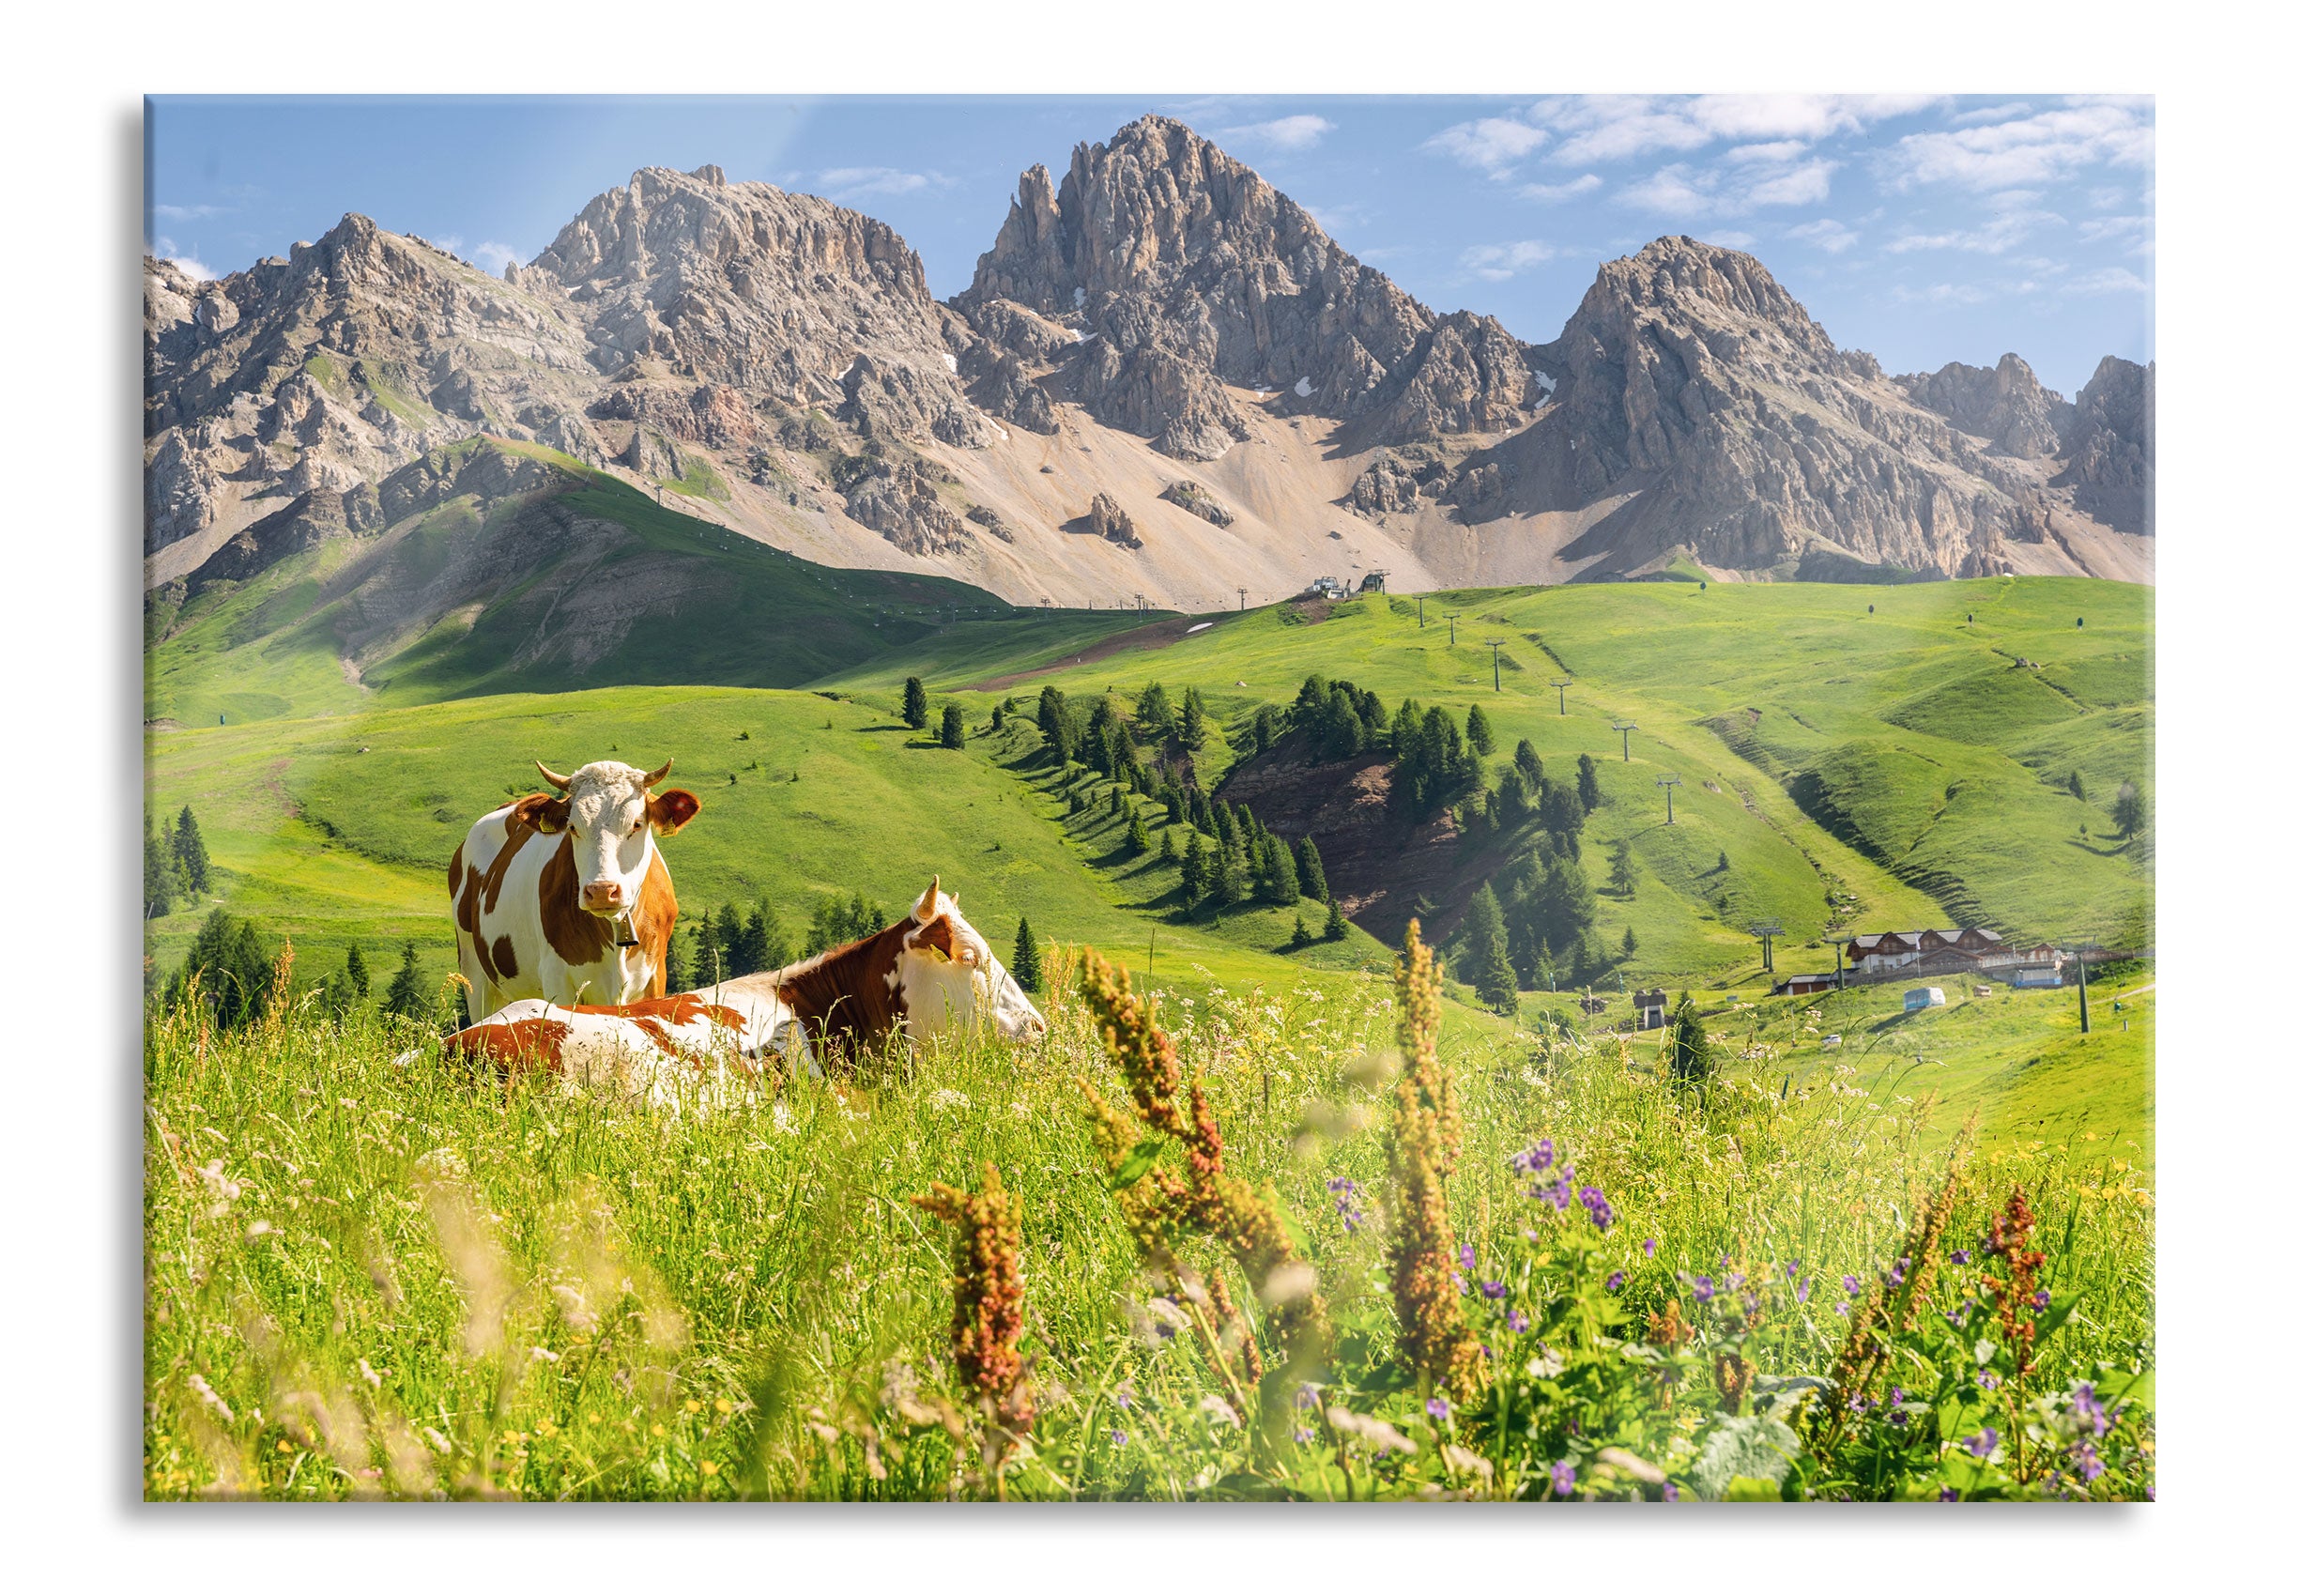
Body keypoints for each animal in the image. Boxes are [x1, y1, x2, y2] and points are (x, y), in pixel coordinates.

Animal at [446, 759, 698, 1011]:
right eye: (573, 827)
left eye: (636, 824)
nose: (601, 891)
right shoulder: (556, 978)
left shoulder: (655, 976)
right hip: (474, 972)